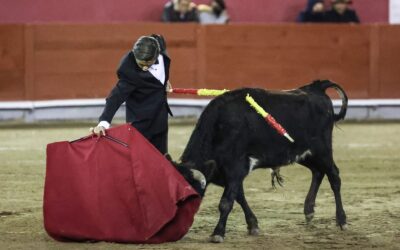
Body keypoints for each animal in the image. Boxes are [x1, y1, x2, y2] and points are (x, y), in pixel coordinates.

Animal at [177, 79, 346, 242]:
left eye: (193, 197)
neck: (220, 127)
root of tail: (316, 87)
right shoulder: (228, 174)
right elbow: (240, 197)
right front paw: (253, 225)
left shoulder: (235, 169)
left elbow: (226, 202)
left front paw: (218, 233)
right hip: (304, 153)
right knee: (318, 171)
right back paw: (309, 211)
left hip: (322, 150)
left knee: (334, 176)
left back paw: (342, 220)